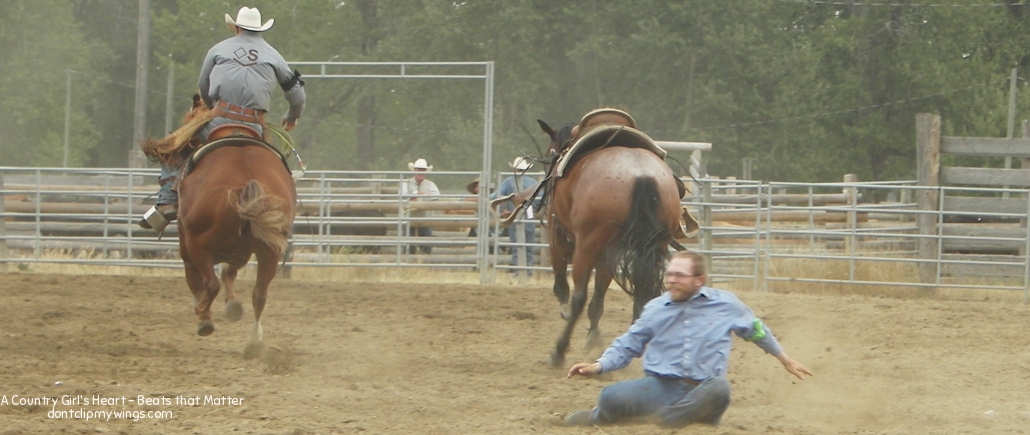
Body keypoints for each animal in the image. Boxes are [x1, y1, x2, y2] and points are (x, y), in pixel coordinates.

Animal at [172, 95, 297, 359]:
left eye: (188, 117)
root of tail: (246, 178)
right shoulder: (243, 250)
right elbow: (230, 273)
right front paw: (233, 306)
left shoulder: (187, 243)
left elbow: (199, 279)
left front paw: (205, 312)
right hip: (270, 250)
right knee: (259, 294)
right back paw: (254, 342)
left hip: (197, 243)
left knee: (211, 284)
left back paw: (204, 319)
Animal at [537, 109, 689, 367]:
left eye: (550, 151)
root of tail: (641, 174)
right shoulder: (608, 251)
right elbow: (599, 297)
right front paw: (593, 339)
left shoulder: (558, 233)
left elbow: (562, 285)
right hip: (652, 247)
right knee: (641, 294)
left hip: (587, 247)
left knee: (579, 297)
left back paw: (558, 352)